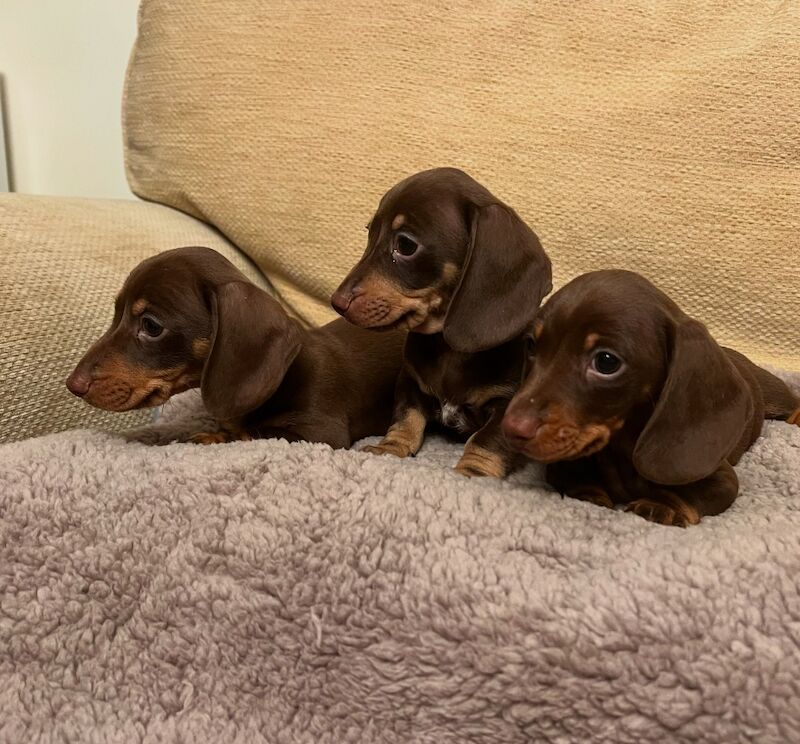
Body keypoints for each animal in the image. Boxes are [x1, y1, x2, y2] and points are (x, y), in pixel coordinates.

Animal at [66, 248, 406, 448]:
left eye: (151, 326)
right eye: (116, 313)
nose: (73, 385)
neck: (287, 377)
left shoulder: (321, 434)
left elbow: (249, 433)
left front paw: (211, 437)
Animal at [330, 167, 552, 476]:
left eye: (406, 245)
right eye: (370, 233)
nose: (337, 303)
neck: (449, 350)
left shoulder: (508, 405)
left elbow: (486, 440)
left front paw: (472, 472)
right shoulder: (409, 383)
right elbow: (406, 419)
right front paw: (390, 448)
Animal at [504, 270, 796, 528]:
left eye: (606, 362)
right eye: (531, 345)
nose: (511, 429)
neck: (621, 448)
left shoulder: (722, 479)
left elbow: (689, 493)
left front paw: (663, 505)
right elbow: (575, 477)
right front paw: (590, 494)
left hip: (774, 393)